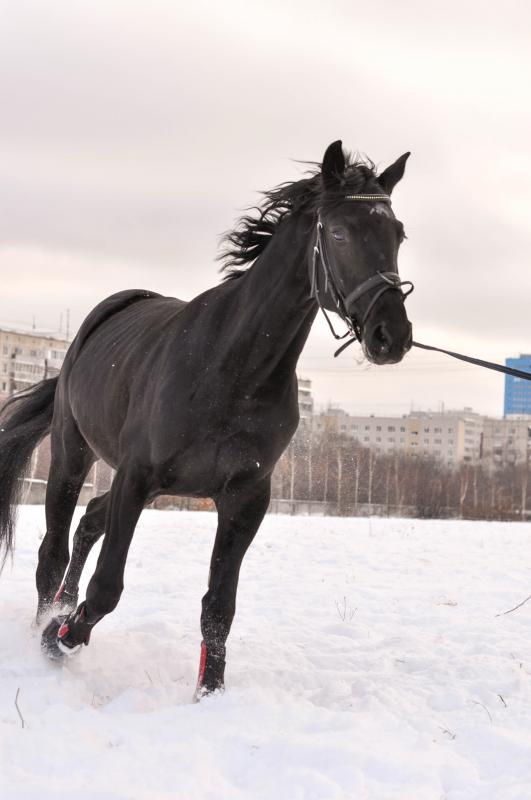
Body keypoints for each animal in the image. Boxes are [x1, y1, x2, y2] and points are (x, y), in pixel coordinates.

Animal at [0, 140, 413, 698]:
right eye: (340, 232)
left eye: (398, 234)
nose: (391, 335)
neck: (232, 368)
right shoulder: (137, 476)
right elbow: (108, 587)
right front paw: (60, 636)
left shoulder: (243, 499)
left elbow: (219, 607)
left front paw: (208, 692)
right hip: (72, 453)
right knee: (54, 549)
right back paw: (46, 625)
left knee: (88, 522)